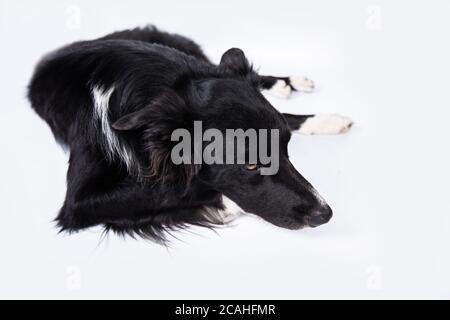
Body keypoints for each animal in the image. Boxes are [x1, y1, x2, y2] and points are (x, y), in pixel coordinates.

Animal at [27, 26, 352, 242]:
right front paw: (226, 205)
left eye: (286, 148)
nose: (325, 214)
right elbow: (171, 189)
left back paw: (296, 90)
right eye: (250, 165)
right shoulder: (78, 202)